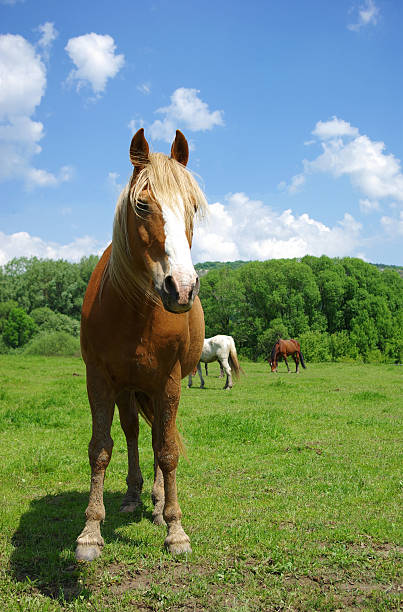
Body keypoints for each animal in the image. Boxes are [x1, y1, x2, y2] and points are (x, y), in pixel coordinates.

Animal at [76, 129, 210, 564]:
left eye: (193, 207)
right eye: (141, 204)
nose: (181, 288)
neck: (135, 312)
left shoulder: (166, 382)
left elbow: (166, 450)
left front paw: (175, 529)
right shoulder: (100, 380)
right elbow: (101, 448)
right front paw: (90, 532)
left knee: (155, 438)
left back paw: (156, 501)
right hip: (128, 389)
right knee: (135, 434)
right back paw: (135, 496)